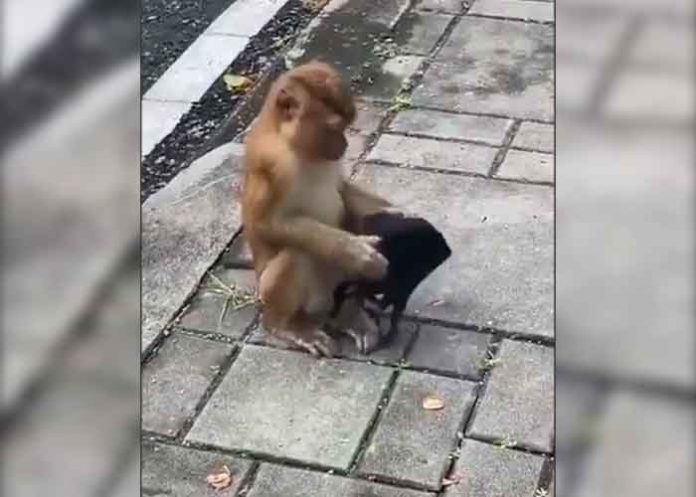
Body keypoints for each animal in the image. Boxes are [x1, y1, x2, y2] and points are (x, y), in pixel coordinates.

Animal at [241, 61, 396, 357]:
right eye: (332, 128)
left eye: (347, 126)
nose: (344, 145)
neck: (295, 147)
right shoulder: (272, 163)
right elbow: (265, 223)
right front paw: (357, 253)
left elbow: (343, 190)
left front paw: (393, 215)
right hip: (287, 297)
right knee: (296, 254)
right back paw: (287, 326)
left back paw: (350, 315)